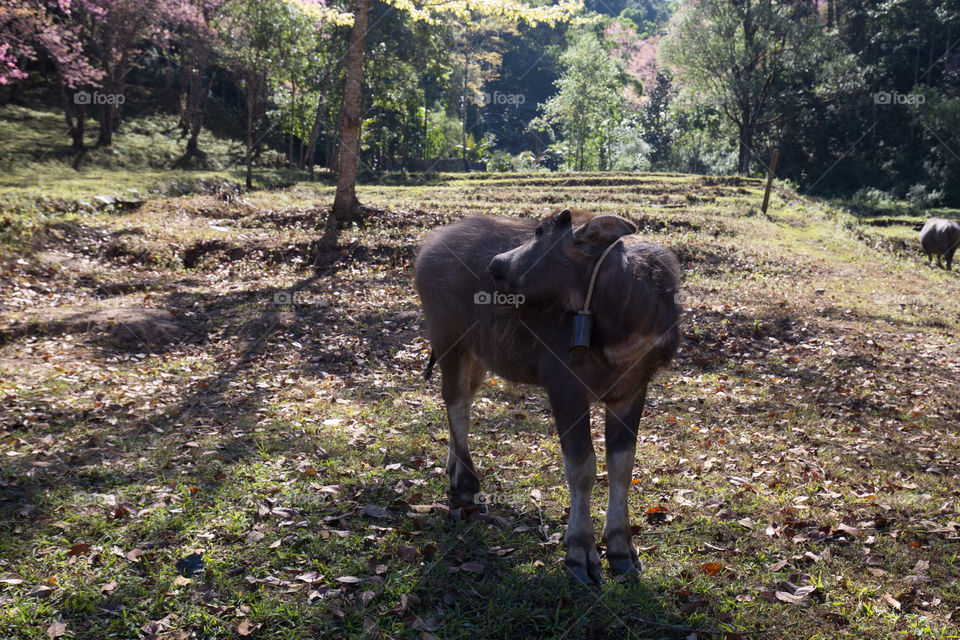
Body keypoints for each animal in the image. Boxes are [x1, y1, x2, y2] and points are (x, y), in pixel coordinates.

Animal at [416, 208, 680, 584]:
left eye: (541, 231)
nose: (496, 264)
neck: (622, 317)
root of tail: (429, 248)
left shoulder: (631, 391)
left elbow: (622, 466)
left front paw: (621, 549)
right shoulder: (565, 387)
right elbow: (582, 466)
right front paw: (580, 553)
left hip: (477, 356)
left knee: (462, 403)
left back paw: (455, 471)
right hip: (450, 341)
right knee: (455, 404)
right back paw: (467, 484)